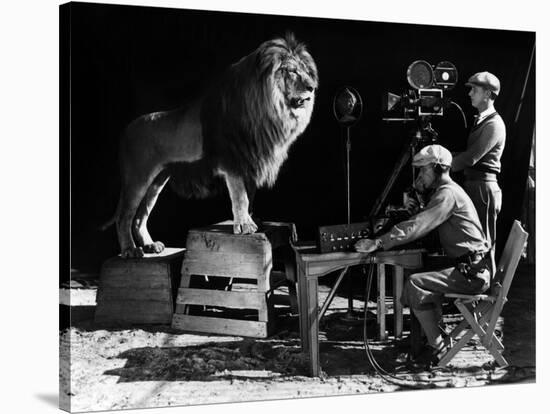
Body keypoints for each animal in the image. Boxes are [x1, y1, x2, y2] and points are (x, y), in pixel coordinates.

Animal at [104, 34, 320, 258]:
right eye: (292, 71)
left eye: (306, 71)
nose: (312, 87)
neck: (266, 109)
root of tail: (126, 130)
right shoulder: (232, 161)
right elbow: (240, 196)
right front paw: (245, 226)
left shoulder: (250, 161)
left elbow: (250, 195)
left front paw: (253, 220)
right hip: (137, 178)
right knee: (124, 217)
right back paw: (130, 250)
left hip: (157, 181)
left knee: (140, 217)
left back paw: (150, 246)